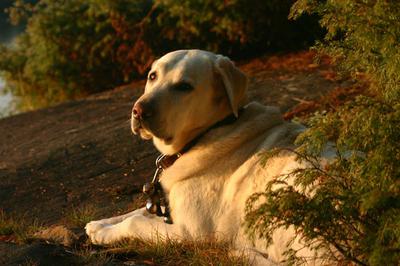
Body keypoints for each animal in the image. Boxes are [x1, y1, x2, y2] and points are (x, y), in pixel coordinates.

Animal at [86, 49, 326, 264]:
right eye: (152, 76)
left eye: (184, 87)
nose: (138, 111)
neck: (210, 131)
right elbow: (137, 211)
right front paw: (100, 224)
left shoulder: (187, 231)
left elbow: (135, 221)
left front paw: (104, 233)